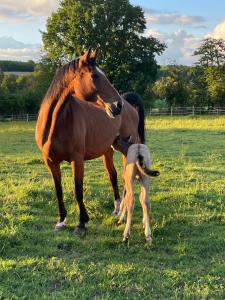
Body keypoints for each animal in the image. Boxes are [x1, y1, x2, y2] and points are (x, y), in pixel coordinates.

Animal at [36, 48, 125, 232]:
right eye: (94, 76)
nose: (118, 105)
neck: (55, 124)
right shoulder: (50, 162)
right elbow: (58, 190)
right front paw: (61, 221)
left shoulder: (76, 160)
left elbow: (78, 190)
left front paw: (81, 223)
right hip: (107, 151)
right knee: (112, 175)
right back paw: (117, 208)